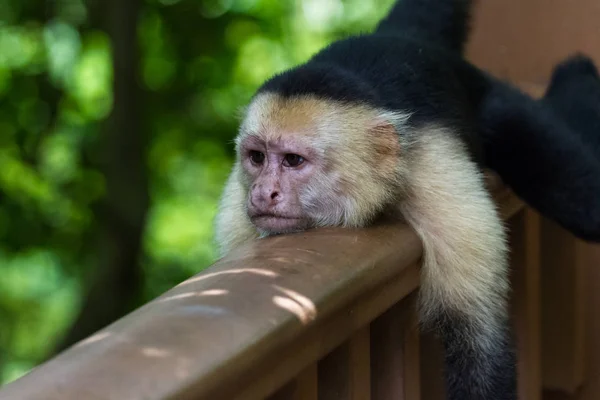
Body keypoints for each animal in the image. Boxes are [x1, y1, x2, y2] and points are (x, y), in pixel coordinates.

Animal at [216, 0, 600, 396]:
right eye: (257, 157)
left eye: (293, 160)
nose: (263, 192)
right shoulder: (238, 213)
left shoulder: (434, 170)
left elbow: (478, 341)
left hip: (492, 100)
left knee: (585, 203)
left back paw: (577, 74)